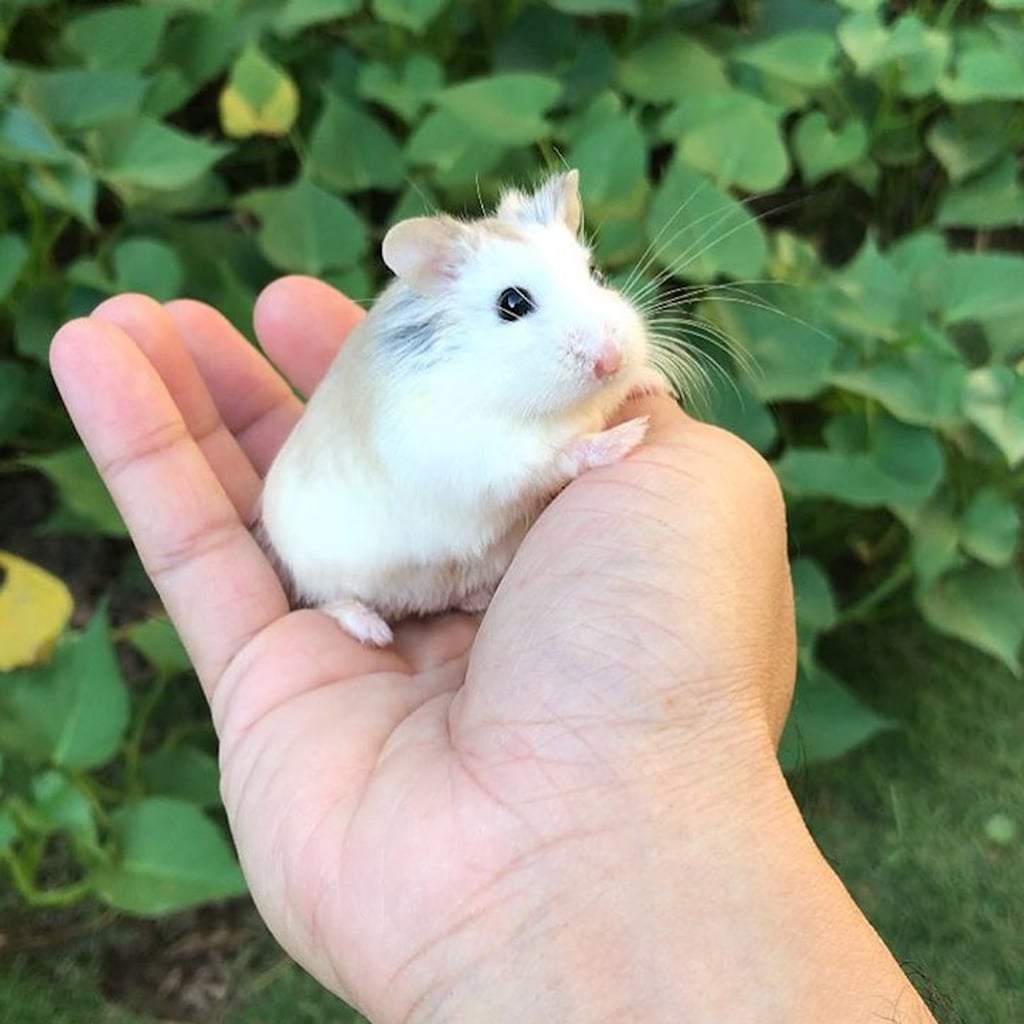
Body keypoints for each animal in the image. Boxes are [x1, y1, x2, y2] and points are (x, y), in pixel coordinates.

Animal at [258, 169, 667, 646]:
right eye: (512, 303)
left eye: (595, 273)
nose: (611, 361)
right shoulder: (481, 455)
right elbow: (554, 456)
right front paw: (629, 435)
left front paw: (653, 383)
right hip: (326, 570)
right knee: (332, 601)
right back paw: (374, 631)